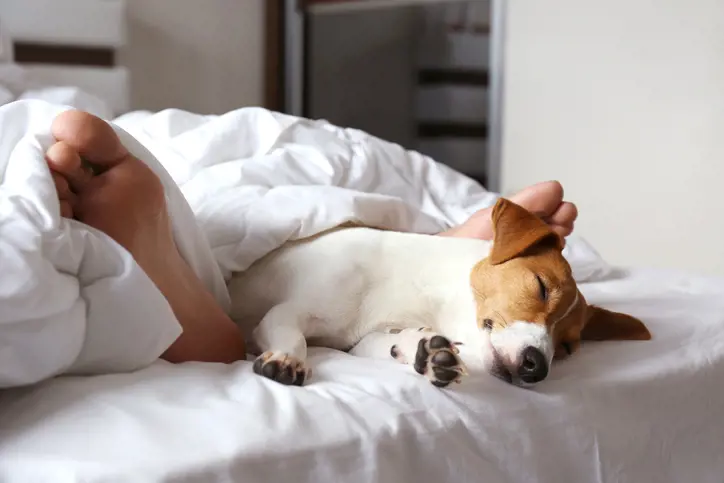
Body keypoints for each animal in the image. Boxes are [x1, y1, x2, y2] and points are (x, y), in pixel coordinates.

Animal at [228, 197, 652, 390]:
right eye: (541, 287)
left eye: (567, 348)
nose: (537, 367)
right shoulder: (284, 313)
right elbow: (292, 334)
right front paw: (287, 359)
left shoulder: (364, 339)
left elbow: (392, 344)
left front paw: (428, 353)